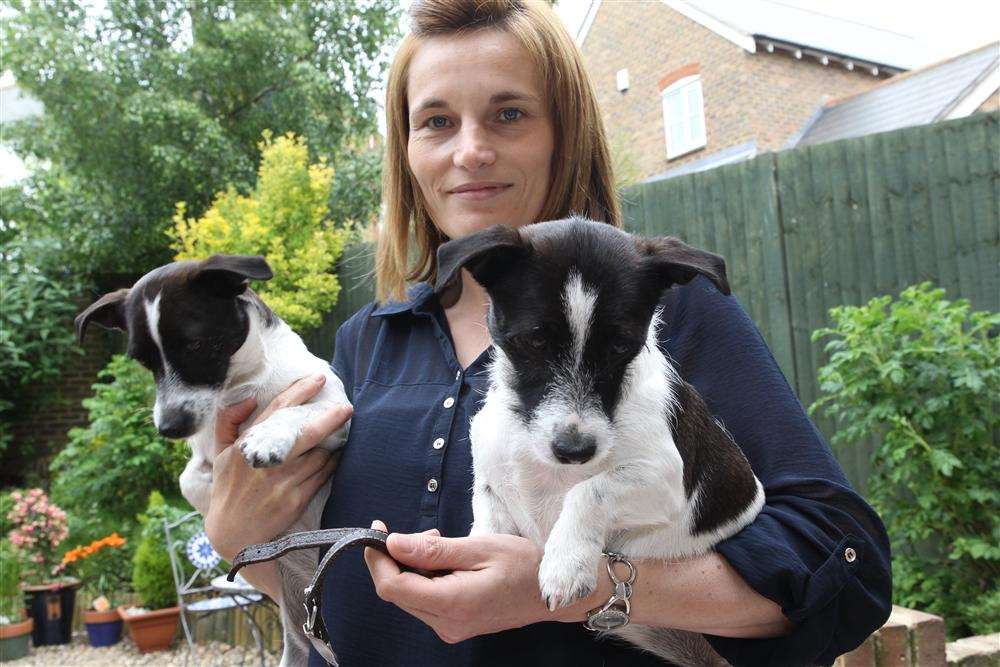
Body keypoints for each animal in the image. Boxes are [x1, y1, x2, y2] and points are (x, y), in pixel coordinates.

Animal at [74, 256, 350, 667]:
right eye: (143, 360)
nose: (169, 427)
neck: (239, 385)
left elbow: (294, 411)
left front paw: (267, 437)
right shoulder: (204, 457)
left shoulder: (335, 411)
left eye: (197, 344)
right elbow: (193, 483)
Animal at [438, 218, 764, 664]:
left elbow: (590, 490)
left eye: (620, 346)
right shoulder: (491, 483)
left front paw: (566, 562)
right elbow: (488, 524)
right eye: (535, 341)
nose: (574, 450)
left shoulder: (665, 480)